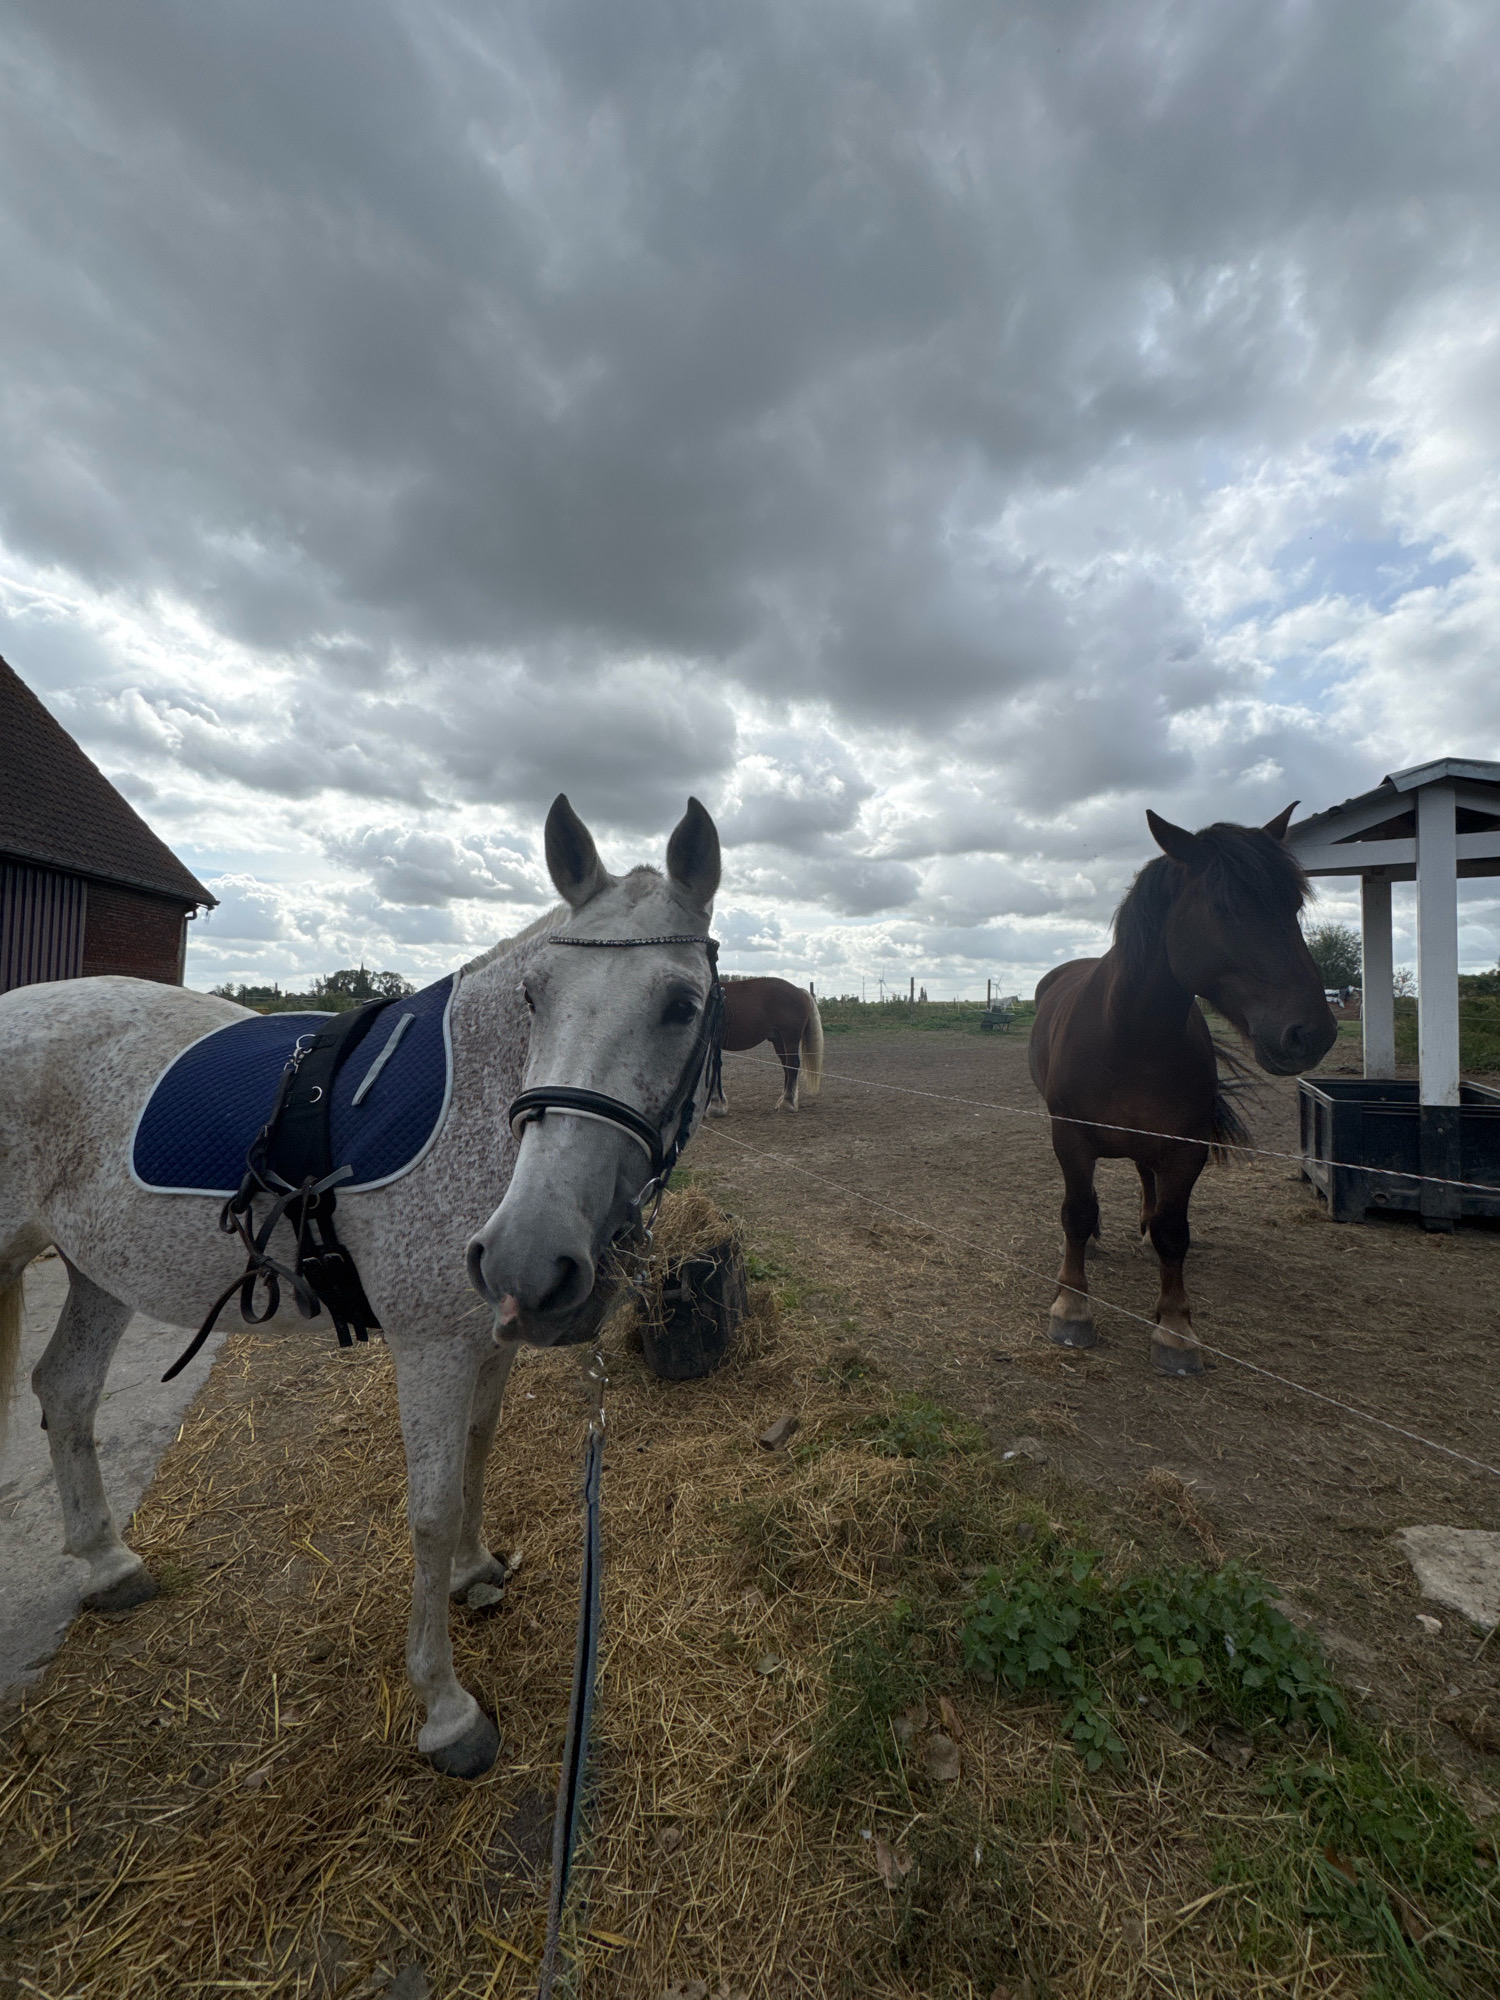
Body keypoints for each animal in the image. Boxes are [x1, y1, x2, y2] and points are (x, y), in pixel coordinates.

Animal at [0, 794, 723, 1779]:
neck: (481, 1113)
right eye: (536, 997)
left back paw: (110, 1565)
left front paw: (475, 1574)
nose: (528, 1252)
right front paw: (446, 1709)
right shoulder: (431, 1345)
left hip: (97, 1270)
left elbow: (477, 1454)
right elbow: (429, 1507)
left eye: (683, 1005)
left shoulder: (486, 1336)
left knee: (66, 1390)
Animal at [708, 977, 823, 1113]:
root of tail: (800, 991)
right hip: (778, 1041)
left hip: (790, 1039)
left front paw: (715, 1104)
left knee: (792, 1065)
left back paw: (787, 1102)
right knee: (786, 1066)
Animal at [1028, 806, 1336, 1375]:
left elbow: (1175, 1231)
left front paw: (1175, 1329)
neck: (1129, 1036)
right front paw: (1072, 1307)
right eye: (1223, 905)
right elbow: (1076, 1212)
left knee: (1146, 1179)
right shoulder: (1071, 1136)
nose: (1311, 1033)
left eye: (1294, 905)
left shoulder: (1184, 1147)